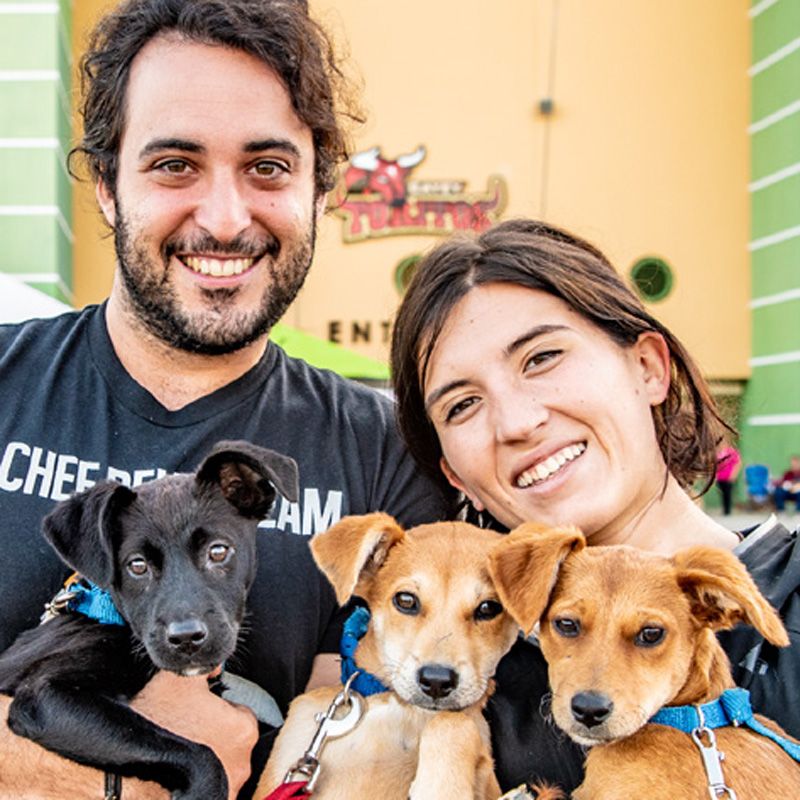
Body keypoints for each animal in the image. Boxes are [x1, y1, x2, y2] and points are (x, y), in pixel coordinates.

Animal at [0, 440, 296, 796]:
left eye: (218, 551)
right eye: (137, 566)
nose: (186, 638)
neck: (113, 616)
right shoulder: (45, 695)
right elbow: (200, 754)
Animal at [253, 516, 520, 796]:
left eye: (489, 608)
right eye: (406, 600)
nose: (437, 681)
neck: (399, 707)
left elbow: (452, 721)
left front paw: (439, 789)